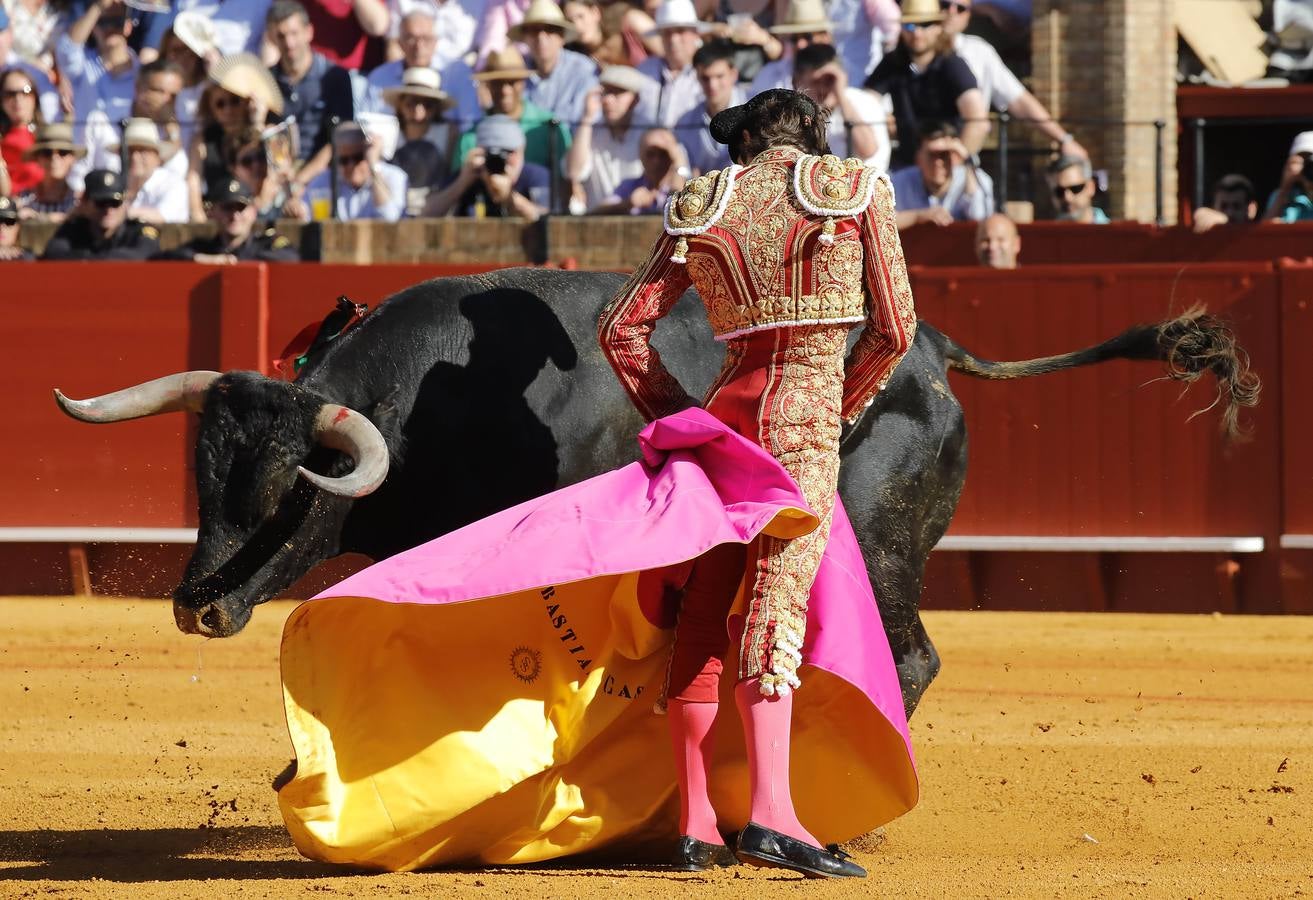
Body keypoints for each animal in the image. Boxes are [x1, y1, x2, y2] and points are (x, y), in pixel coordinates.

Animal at [53, 262, 1260, 714]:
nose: (196, 605)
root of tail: (932, 352)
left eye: (288, 492)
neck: (426, 405)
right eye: (202, 477)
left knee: (908, 654)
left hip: (883, 542)